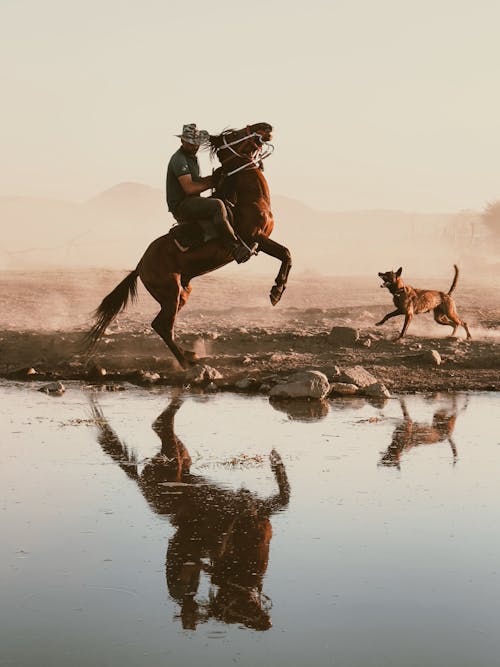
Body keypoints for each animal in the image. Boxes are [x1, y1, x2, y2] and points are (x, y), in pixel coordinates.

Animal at [83, 122, 292, 368]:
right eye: (234, 134)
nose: (266, 126)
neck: (251, 199)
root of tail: (140, 266)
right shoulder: (256, 237)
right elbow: (286, 253)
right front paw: (276, 293)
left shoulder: (260, 240)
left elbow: (286, 255)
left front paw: (277, 291)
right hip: (171, 292)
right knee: (162, 325)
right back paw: (185, 361)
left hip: (182, 292)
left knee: (163, 324)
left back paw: (189, 355)